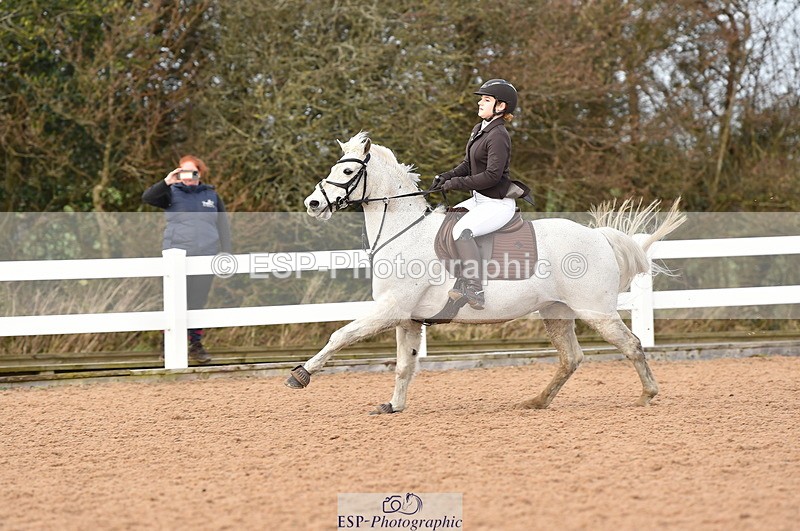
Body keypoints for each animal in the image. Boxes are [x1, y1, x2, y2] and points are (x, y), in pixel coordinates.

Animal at [285, 132, 686, 414]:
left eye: (347, 171)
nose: (313, 203)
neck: (405, 233)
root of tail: (598, 236)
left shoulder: (390, 309)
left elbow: (340, 336)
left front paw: (301, 375)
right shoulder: (407, 318)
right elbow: (403, 366)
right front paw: (394, 406)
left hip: (595, 311)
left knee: (631, 345)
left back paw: (647, 395)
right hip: (556, 312)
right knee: (571, 358)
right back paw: (536, 402)